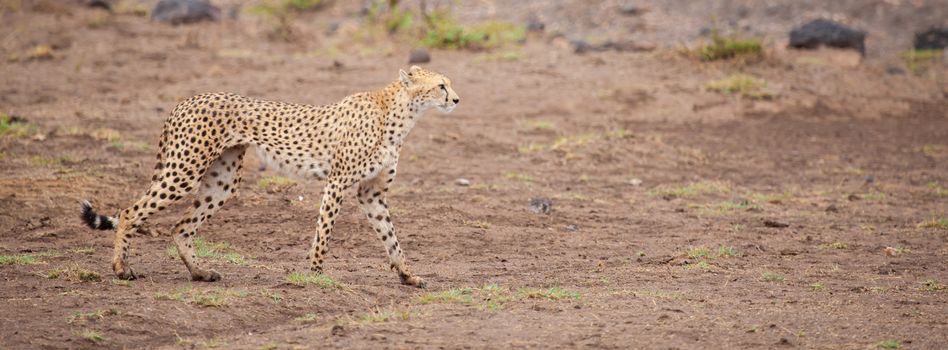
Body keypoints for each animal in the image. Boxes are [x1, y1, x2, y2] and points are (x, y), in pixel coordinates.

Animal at [79, 66, 458, 288]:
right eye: (441, 86)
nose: (456, 99)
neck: (399, 114)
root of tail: (186, 100)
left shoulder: (371, 194)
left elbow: (391, 237)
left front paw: (408, 274)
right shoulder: (337, 183)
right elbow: (324, 233)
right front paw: (315, 275)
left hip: (222, 181)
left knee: (181, 227)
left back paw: (199, 273)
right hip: (184, 170)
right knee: (130, 212)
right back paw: (121, 269)